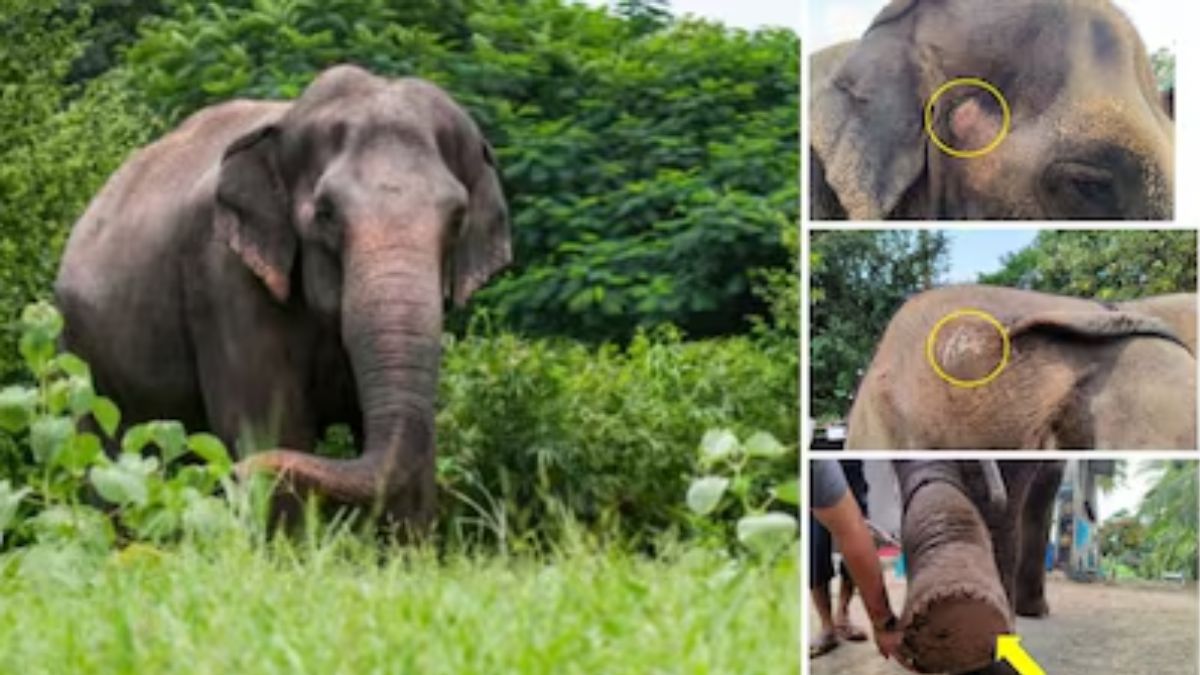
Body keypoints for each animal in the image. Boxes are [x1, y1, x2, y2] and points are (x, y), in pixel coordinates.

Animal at [54, 65, 511, 532]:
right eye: (325, 213)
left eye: (457, 218)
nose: (233, 474)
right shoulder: (222, 274)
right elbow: (270, 426)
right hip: (81, 359)